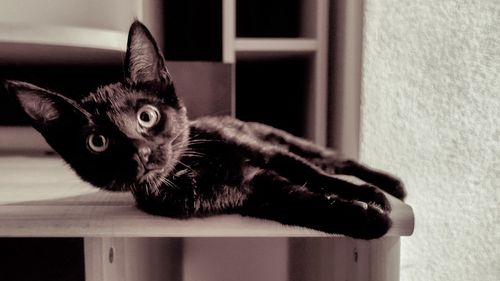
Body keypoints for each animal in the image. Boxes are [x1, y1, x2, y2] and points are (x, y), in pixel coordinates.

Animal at [4, 21, 406, 238]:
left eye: (146, 117)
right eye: (97, 142)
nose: (140, 151)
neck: (192, 168)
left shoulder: (267, 155)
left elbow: (316, 176)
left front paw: (371, 196)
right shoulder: (258, 194)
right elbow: (305, 204)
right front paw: (368, 218)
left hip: (277, 137)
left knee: (330, 160)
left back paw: (390, 184)